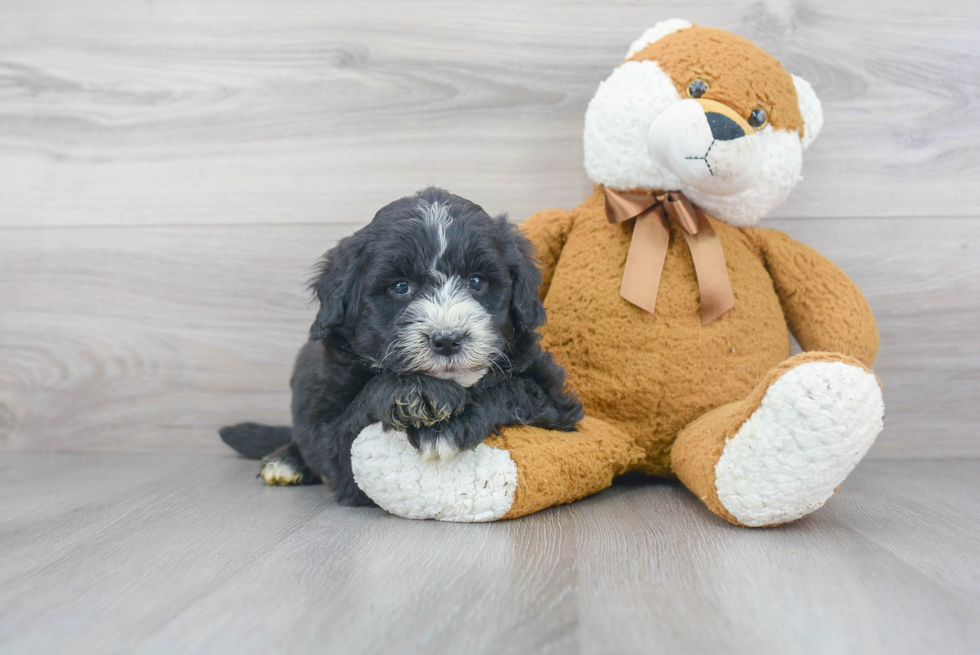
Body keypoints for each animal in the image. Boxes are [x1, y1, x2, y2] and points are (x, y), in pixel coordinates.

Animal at [220, 187, 580, 504]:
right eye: (400, 287)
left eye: (477, 281)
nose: (447, 339)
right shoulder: (330, 432)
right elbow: (350, 424)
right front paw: (415, 391)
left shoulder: (558, 406)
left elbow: (512, 387)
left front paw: (448, 425)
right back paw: (286, 459)